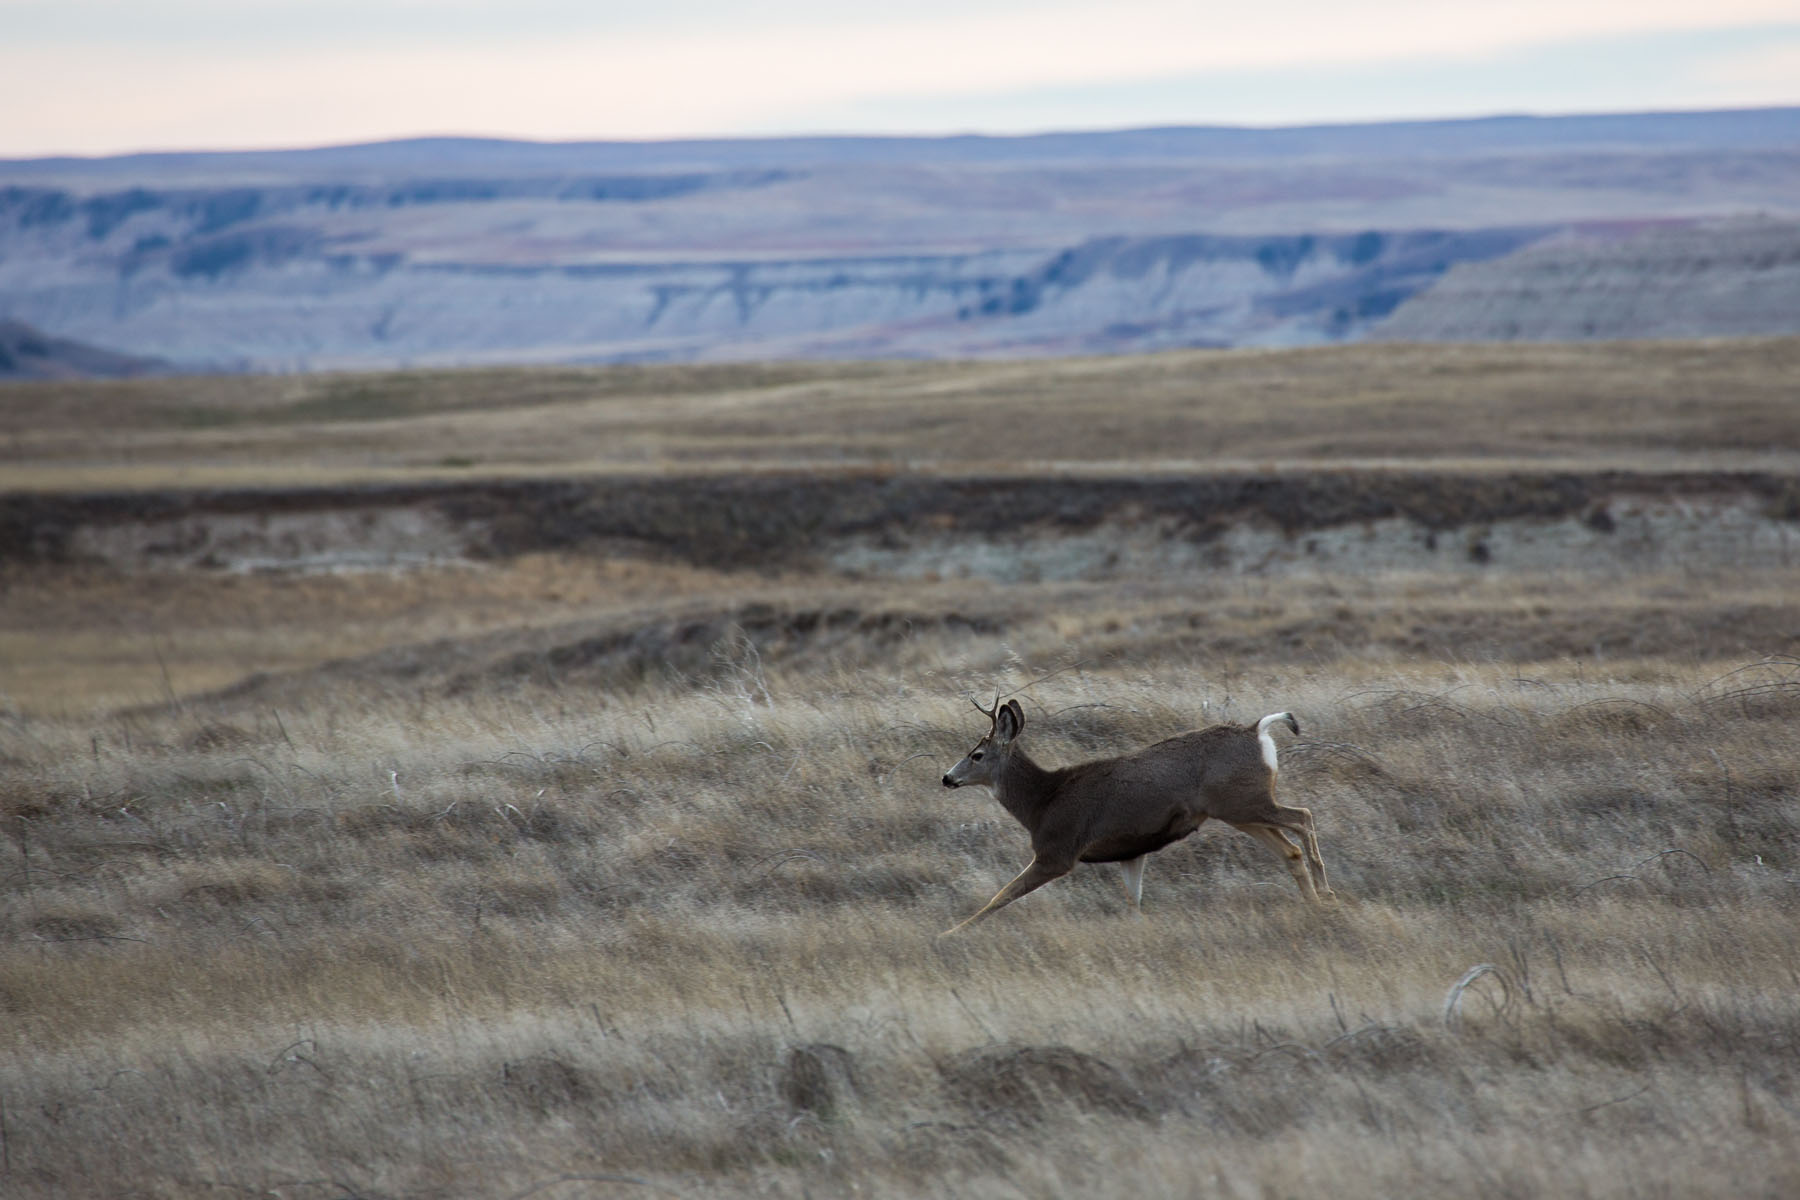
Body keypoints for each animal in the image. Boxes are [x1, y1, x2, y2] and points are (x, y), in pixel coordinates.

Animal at [939, 697, 1330, 935]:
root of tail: (1257, 731)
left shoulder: (1057, 851)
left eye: (976, 755)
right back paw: (1318, 901)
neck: (1042, 803)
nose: (946, 777)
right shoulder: (1132, 852)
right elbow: (1135, 902)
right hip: (1238, 809)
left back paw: (1326, 891)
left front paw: (951, 932)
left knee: (1304, 816)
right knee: (1290, 848)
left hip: (1244, 801)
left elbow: (1001, 895)